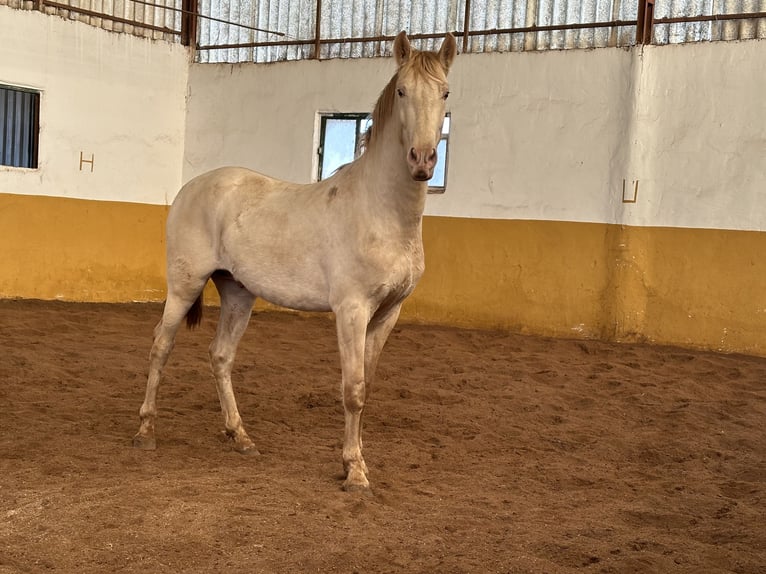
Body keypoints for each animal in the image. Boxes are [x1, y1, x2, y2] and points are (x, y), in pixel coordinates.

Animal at [134, 30, 456, 490]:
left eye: (445, 92)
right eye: (402, 91)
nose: (423, 159)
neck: (381, 210)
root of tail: (190, 188)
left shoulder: (388, 314)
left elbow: (368, 386)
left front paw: (358, 460)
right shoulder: (352, 311)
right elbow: (353, 389)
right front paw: (354, 471)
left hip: (238, 292)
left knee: (220, 355)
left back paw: (241, 436)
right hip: (185, 285)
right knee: (161, 345)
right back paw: (146, 430)